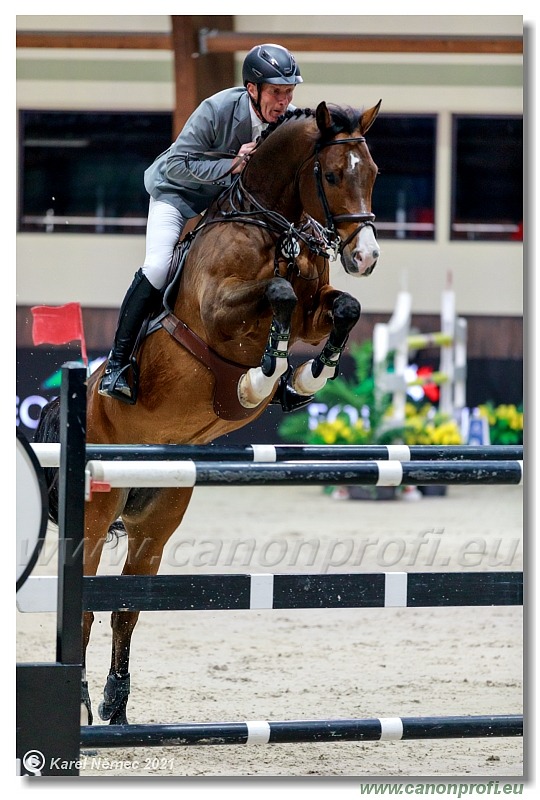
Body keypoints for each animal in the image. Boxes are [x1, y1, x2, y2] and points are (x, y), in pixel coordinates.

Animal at [34, 98, 380, 724]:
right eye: (332, 174)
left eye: (374, 173)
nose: (364, 256)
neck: (273, 228)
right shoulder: (221, 310)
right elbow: (277, 298)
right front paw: (260, 377)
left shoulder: (317, 310)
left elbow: (343, 307)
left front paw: (302, 380)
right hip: (94, 515)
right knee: (88, 605)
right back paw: (84, 703)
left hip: (159, 517)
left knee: (126, 607)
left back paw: (117, 706)